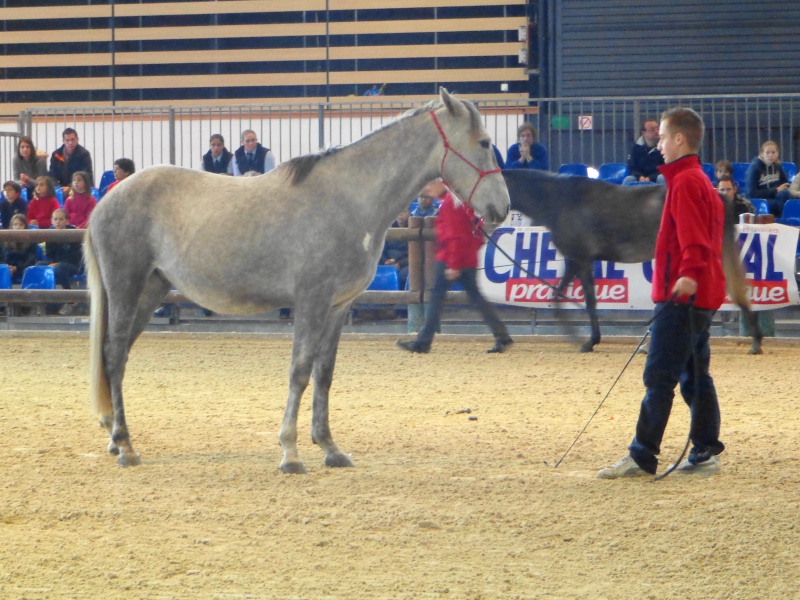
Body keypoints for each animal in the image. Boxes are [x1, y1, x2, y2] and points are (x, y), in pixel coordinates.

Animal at [84, 89, 510, 474]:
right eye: (485, 143)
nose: (502, 208)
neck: (348, 199)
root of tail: (107, 199)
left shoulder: (338, 306)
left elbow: (324, 373)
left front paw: (330, 448)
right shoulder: (312, 300)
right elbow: (300, 370)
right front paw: (290, 453)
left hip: (152, 288)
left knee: (116, 355)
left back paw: (114, 437)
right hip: (126, 286)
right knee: (115, 355)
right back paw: (125, 446)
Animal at [500, 168, 764, 352]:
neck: (561, 201)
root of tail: (717, 196)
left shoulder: (580, 259)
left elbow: (584, 300)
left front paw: (584, 340)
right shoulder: (578, 261)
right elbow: (564, 296)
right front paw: (586, 338)